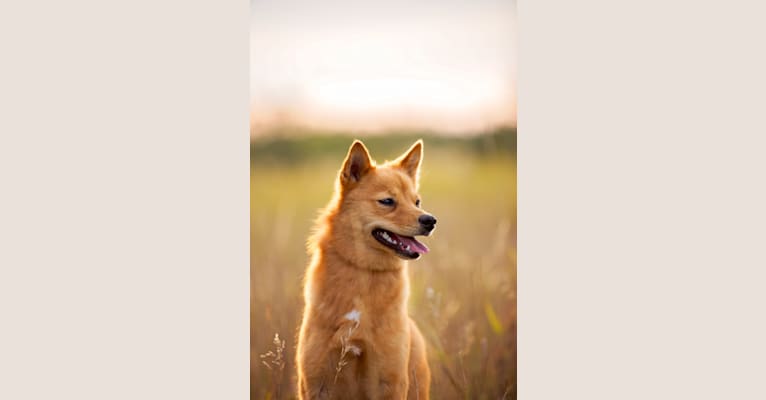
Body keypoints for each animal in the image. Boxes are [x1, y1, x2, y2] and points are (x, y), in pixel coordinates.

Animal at [296, 139, 436, 398]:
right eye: (387, 201)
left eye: (417, 202)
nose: (430, 221)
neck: (364, 271)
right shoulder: (315, 382)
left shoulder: (389, 380)